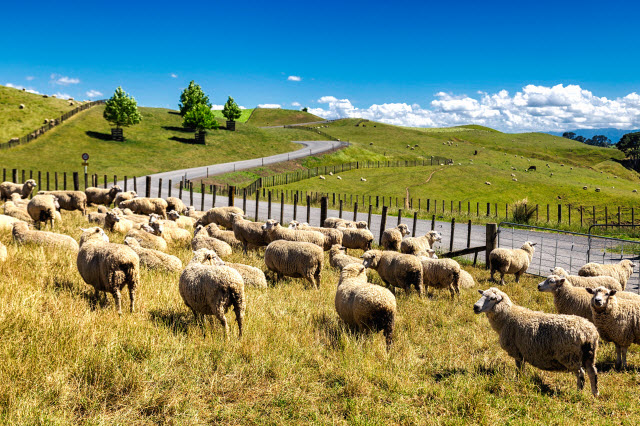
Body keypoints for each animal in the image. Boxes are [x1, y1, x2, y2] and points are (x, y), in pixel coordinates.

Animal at [470, 288, 600, 398]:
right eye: (482, 294)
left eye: (492, 298)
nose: (475, 307)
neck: (507, 316)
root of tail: (589, 333)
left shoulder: (517, 351)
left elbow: (519, 368)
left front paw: (519, 380)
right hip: (589, 354)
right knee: (592, 372)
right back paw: (595, 393)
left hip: (570, 356)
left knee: (581, 373)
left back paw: (578, 392)